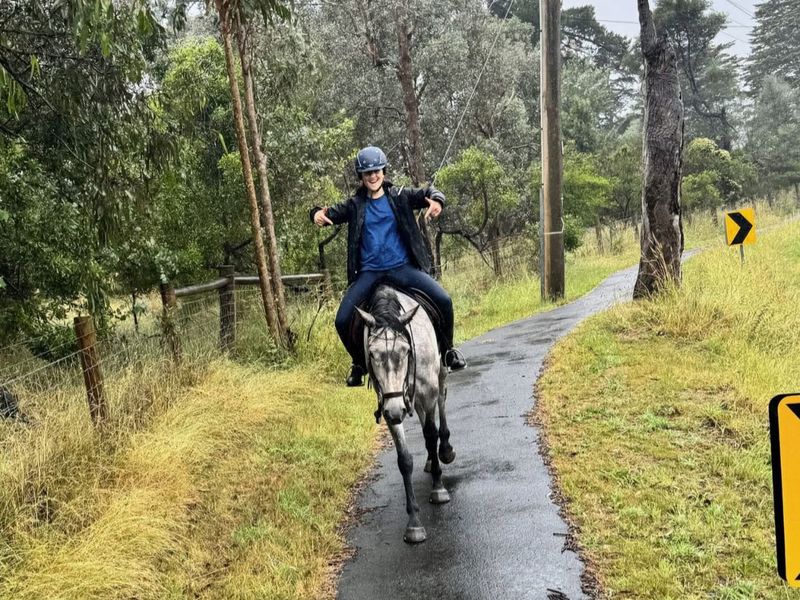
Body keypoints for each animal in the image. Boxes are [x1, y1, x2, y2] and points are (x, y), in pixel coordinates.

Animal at [355, 284, 456, 544]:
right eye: (372, 354)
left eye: (406, 350)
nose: (395, 411)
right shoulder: (390, 404)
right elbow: (404, 459)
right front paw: (414, 523)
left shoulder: (427, 391)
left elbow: (430, 436)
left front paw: (438, 489)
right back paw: (431, 461)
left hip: (440, 374)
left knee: (442, 402)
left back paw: (445, 450)